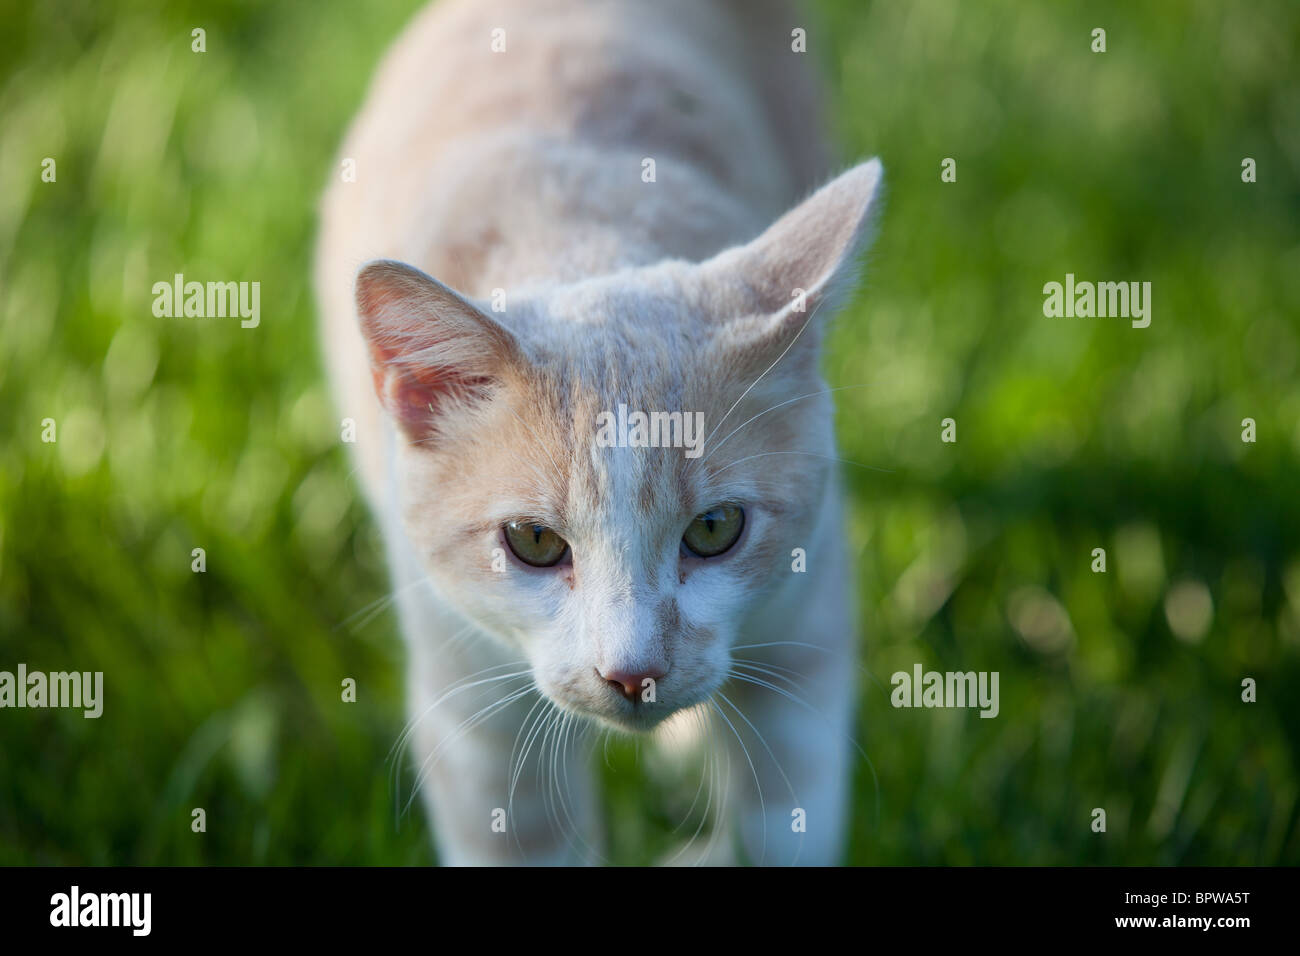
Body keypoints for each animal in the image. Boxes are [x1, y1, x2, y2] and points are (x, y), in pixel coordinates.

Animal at [314, 0, 883, 868]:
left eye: (715, 528)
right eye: (533, 542)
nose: (634, 671)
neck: (584, 233)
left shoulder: (807, 618)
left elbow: (781, 820)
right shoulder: (469, 706)